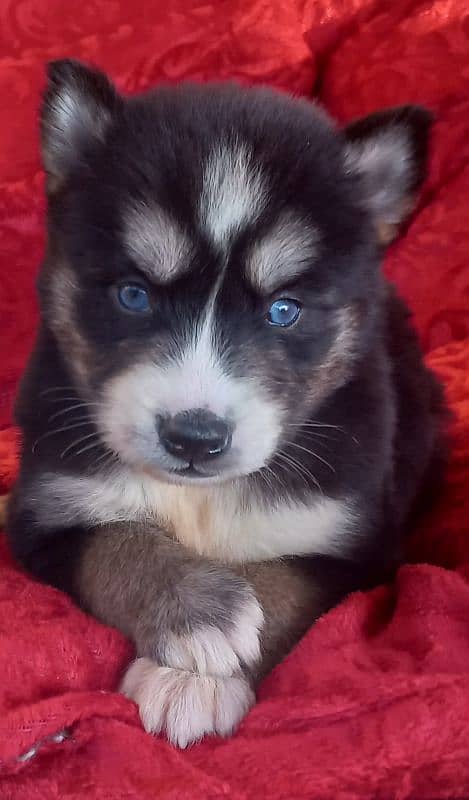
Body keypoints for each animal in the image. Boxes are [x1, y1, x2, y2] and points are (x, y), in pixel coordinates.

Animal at [6, 62, 446, 752]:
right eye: (134, 295)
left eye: (284, 310)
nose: (194, 438)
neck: (201, 497)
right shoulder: (50, 509)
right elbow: (115, 542)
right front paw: (200, 616)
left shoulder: (349, 542)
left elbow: (282, 582)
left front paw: (201, 677)